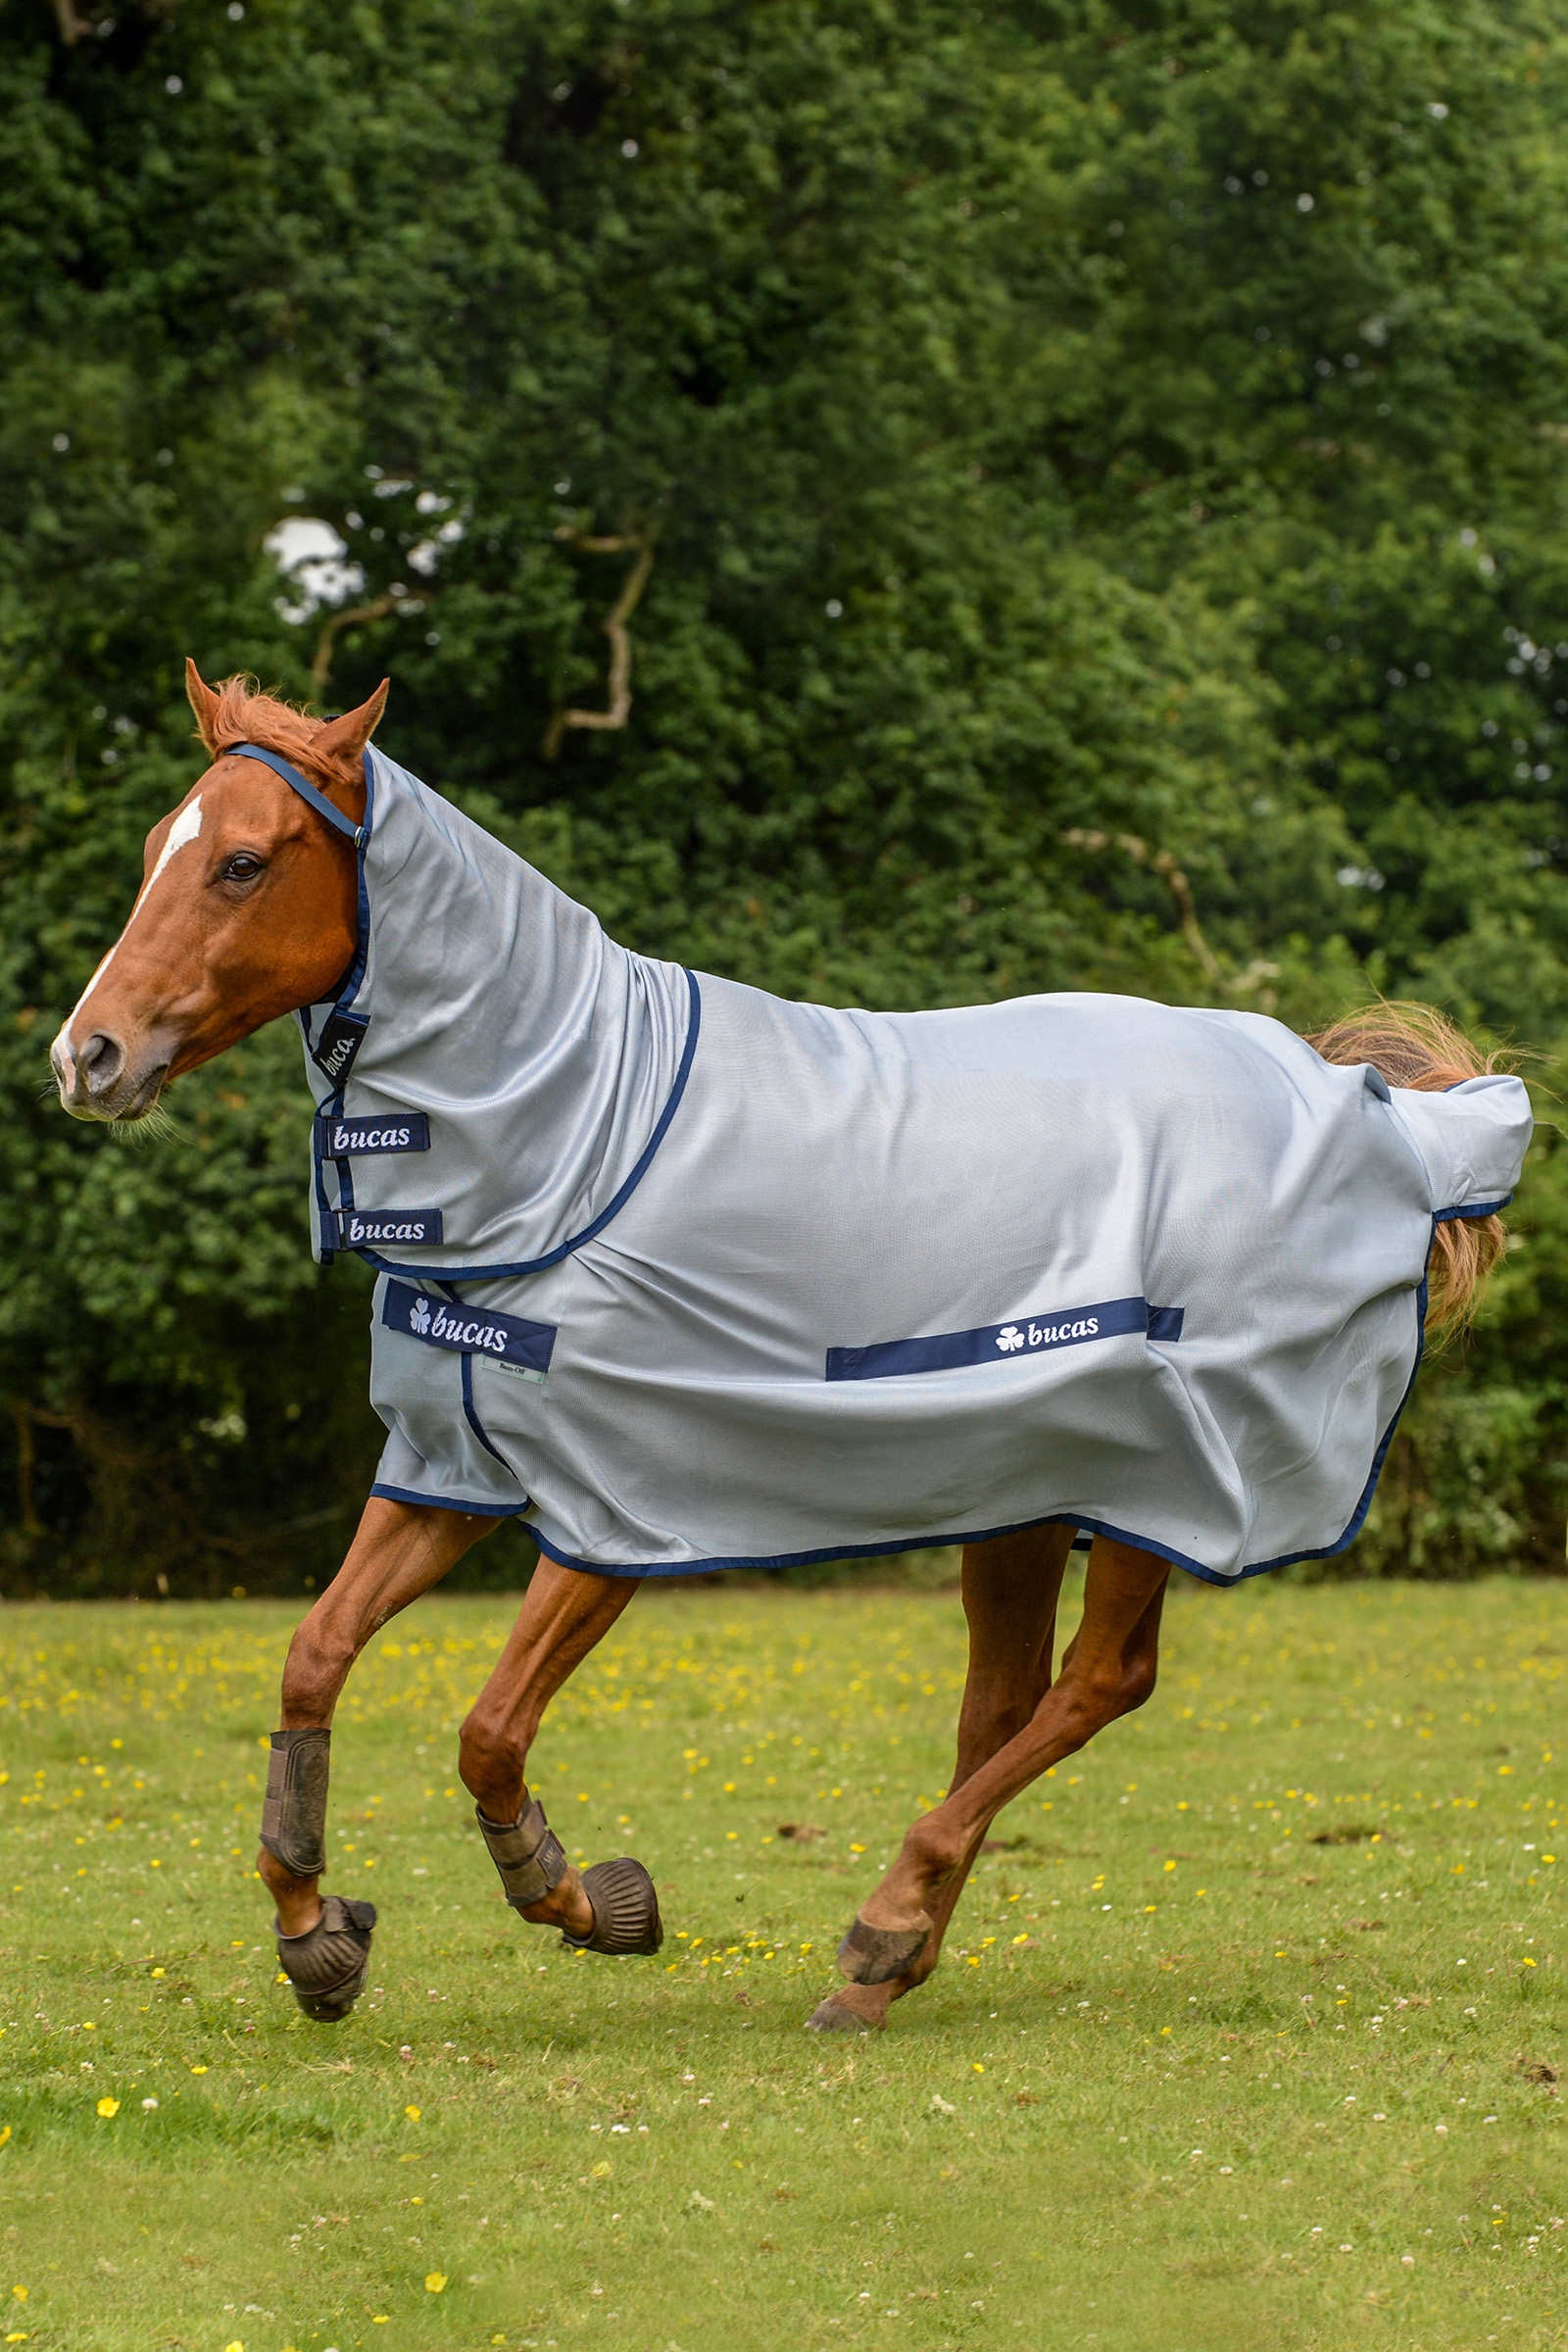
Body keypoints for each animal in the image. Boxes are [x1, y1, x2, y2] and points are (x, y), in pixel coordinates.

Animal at [49, 665, 1528, 2033]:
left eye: (244, 862)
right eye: (159, 847)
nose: (86, 1057)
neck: (578, 1134)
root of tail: (1379, 1113)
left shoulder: (612, 1504)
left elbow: (487, 1733)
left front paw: (588, 1902)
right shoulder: (449, 1468)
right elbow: (311, 1657)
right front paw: (316, 1933)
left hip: (1159, 1483)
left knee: (1100, 1683)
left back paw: (885, 1923)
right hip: (1019, 1488)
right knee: (1002, 1700)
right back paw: (890, 1963)